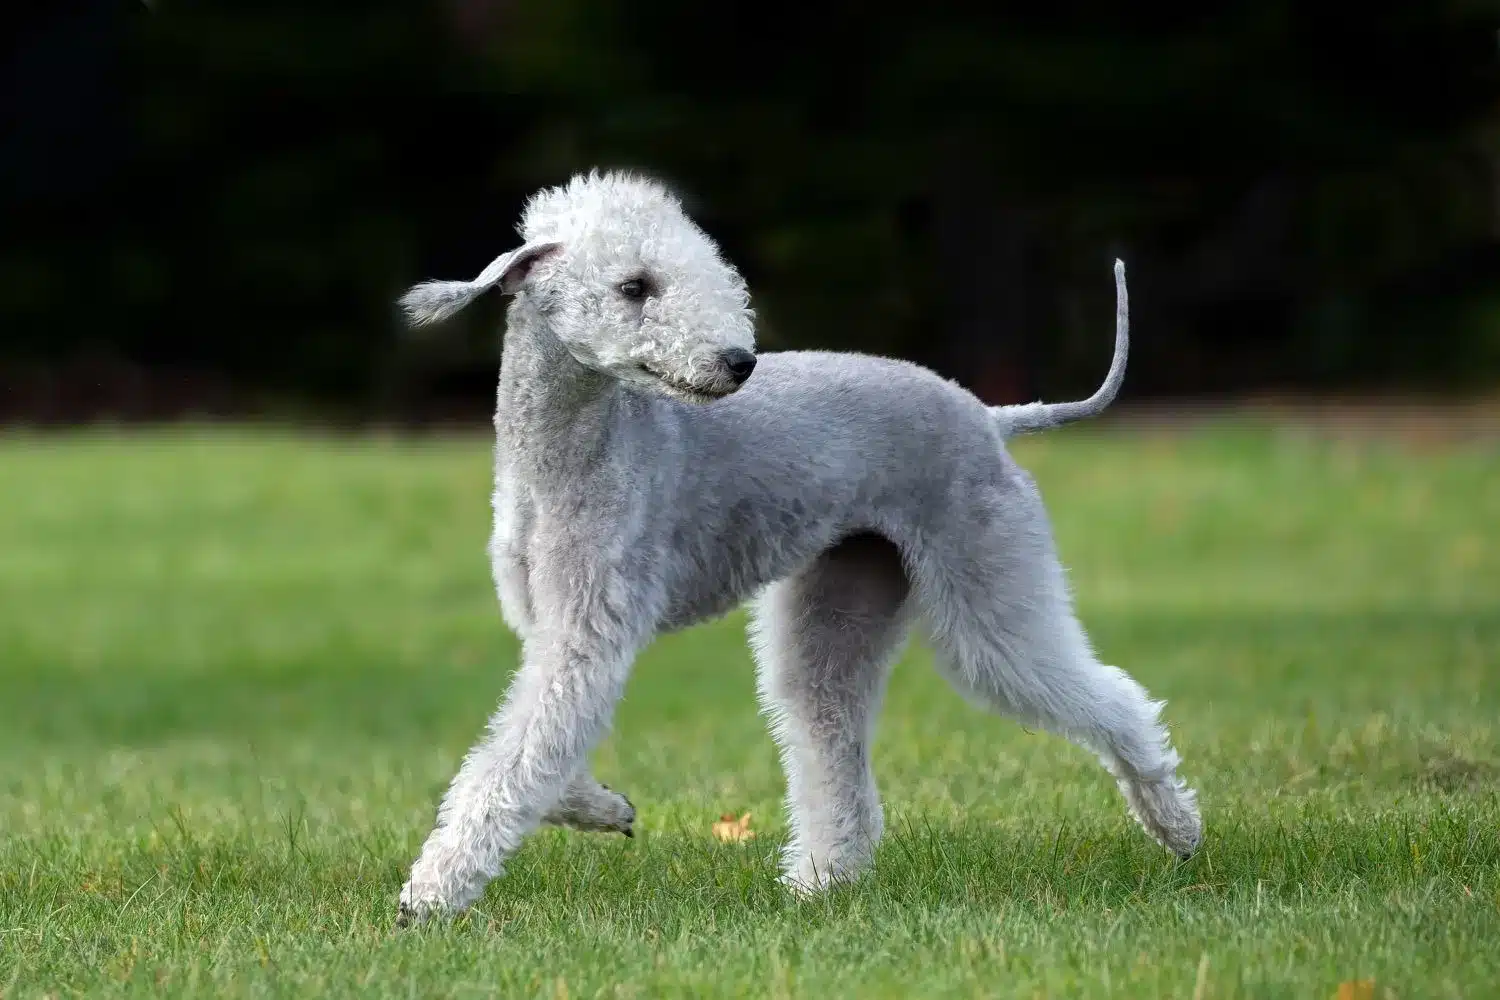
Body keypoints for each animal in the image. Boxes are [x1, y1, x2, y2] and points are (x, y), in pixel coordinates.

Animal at [393, 170, 1200, 923]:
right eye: (634, 287)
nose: (738, 361)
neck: (572, 449)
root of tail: (989, 416)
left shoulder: (586, 633)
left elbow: (514, 758)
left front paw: (429, 896)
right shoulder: (551, 631)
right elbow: (537, 750)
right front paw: (604, 807)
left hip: (987, 589)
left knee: (1112, 697)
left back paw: (1178, 827)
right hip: (842, 601)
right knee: (834, 745)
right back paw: (820, 885)